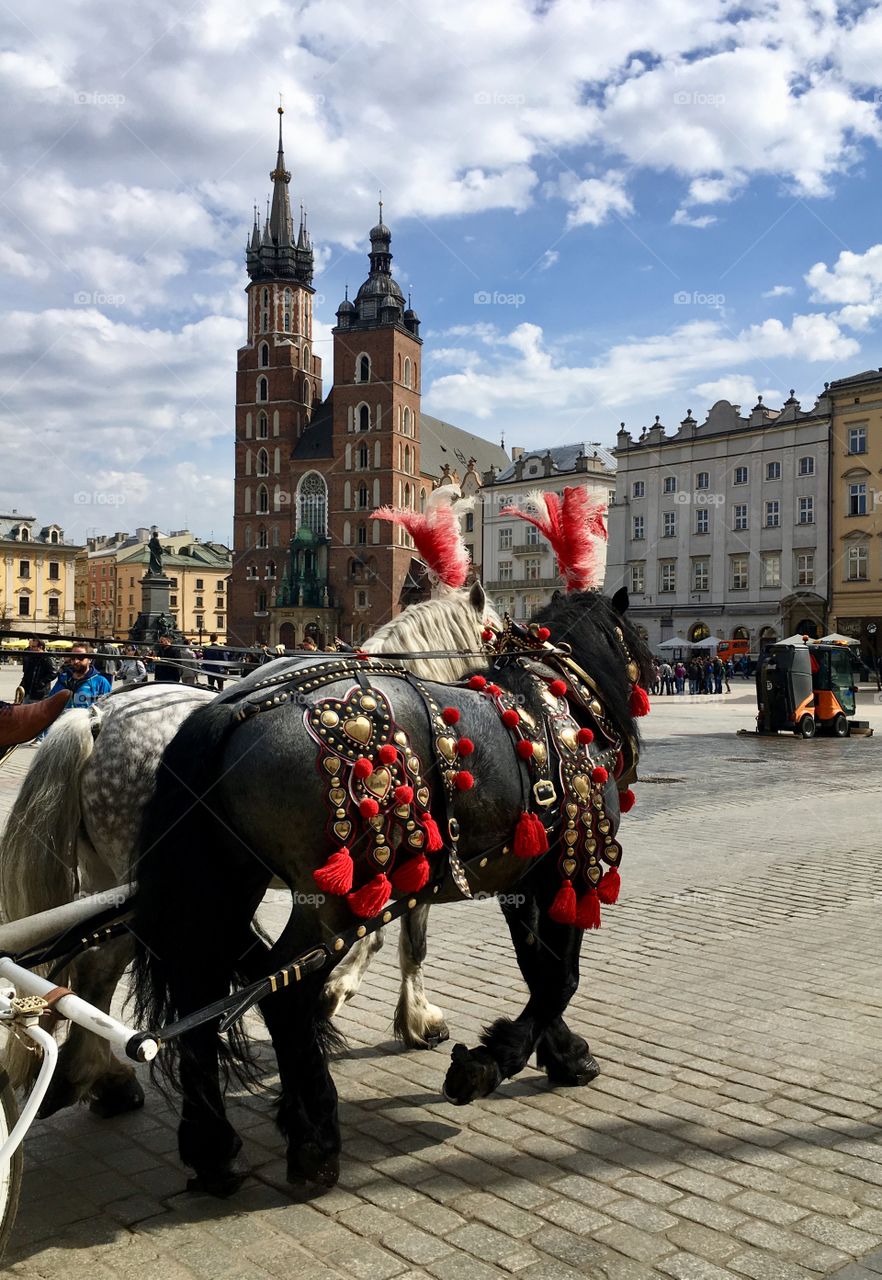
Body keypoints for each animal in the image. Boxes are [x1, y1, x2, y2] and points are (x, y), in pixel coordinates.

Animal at [132, 588, 652, 1198]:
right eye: (639, 645)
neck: (556, 705)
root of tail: (225, 709)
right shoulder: (567, 869)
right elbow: (558, 978)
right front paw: (484, 1064)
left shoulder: (519, 879)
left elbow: (536, 968)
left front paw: (562, 1053)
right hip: (330, 892)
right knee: (283, 990)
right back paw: (314, 1139)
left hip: (229, 885)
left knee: (205, 981)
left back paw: (215, 1148)